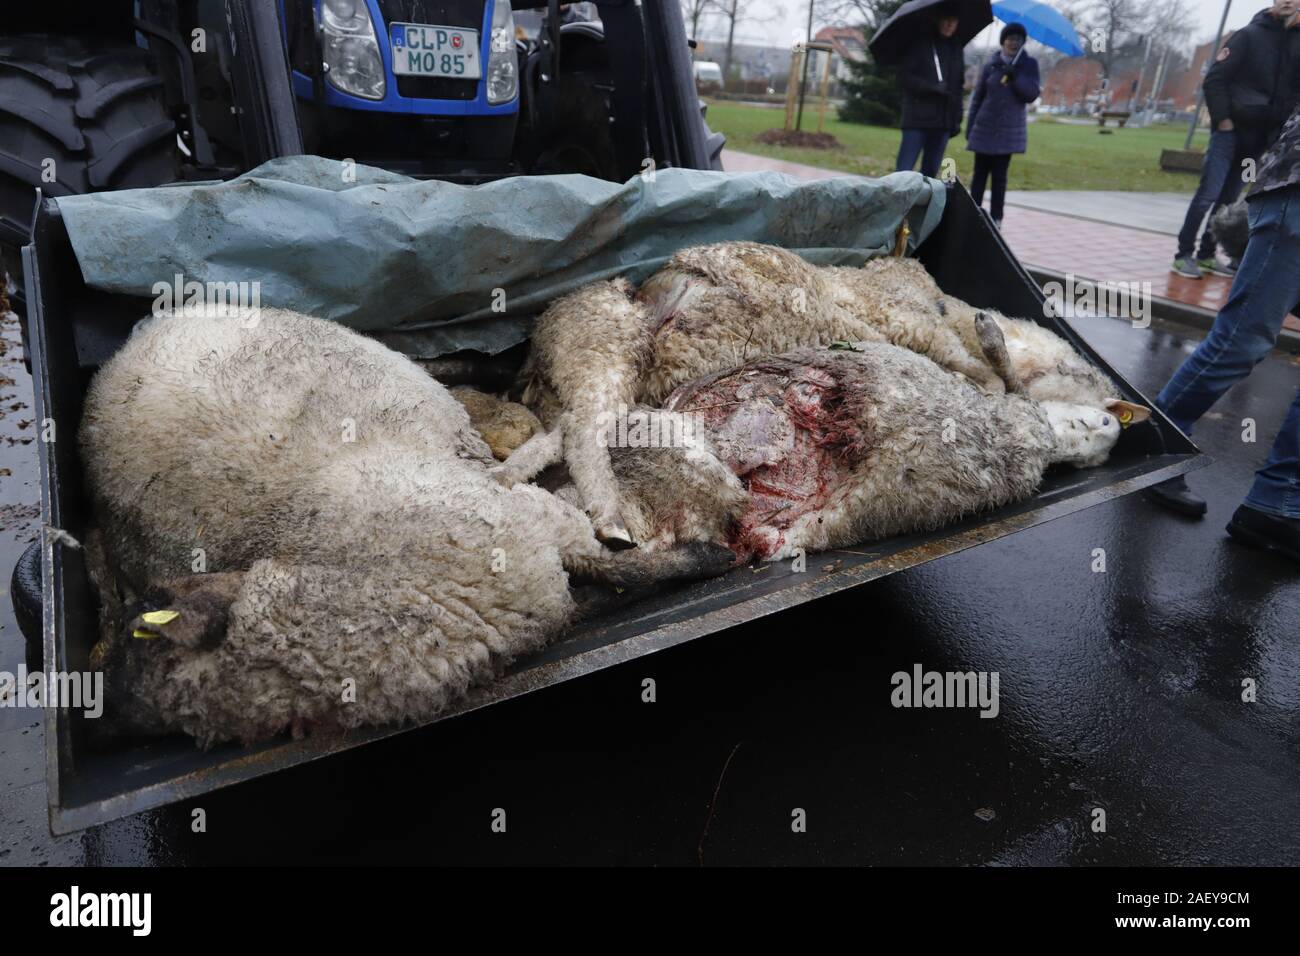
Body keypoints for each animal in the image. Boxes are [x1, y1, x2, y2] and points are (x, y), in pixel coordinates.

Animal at [81, 306, 733, 749]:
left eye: (143, 629)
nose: (101, 714)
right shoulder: (529, 523)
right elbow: (610, 566)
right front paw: (701, 558)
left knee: (430, 361)